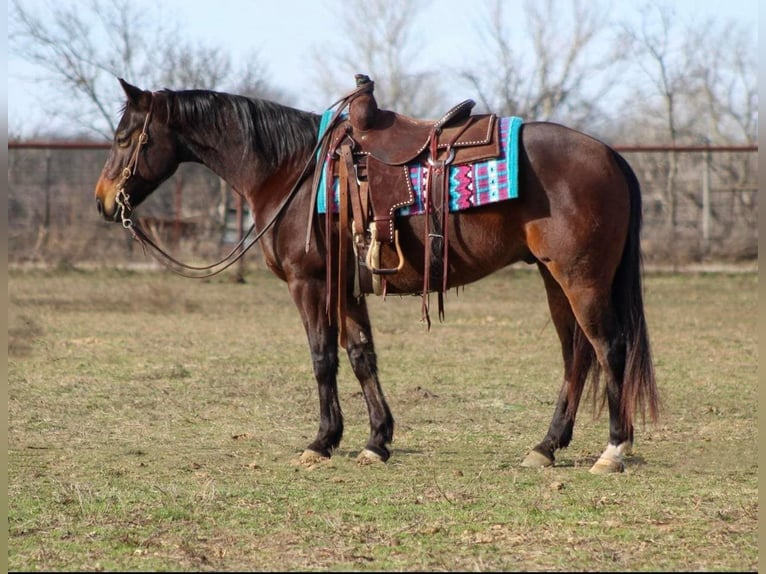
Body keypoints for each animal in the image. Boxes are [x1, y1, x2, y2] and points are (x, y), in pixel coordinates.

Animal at [94, 78, 659, 474]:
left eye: (124, 137)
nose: (103, 201)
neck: (293, 171)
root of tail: (609, 154)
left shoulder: (311, 284)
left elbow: (323, 358)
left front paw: (321, 442)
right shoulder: (346, 288)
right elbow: (361, 355)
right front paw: (375, 441)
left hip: (580, 279)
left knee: (609, 349)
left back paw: (612, 450)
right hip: (553, 278)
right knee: (576, 355)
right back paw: (545, 447)